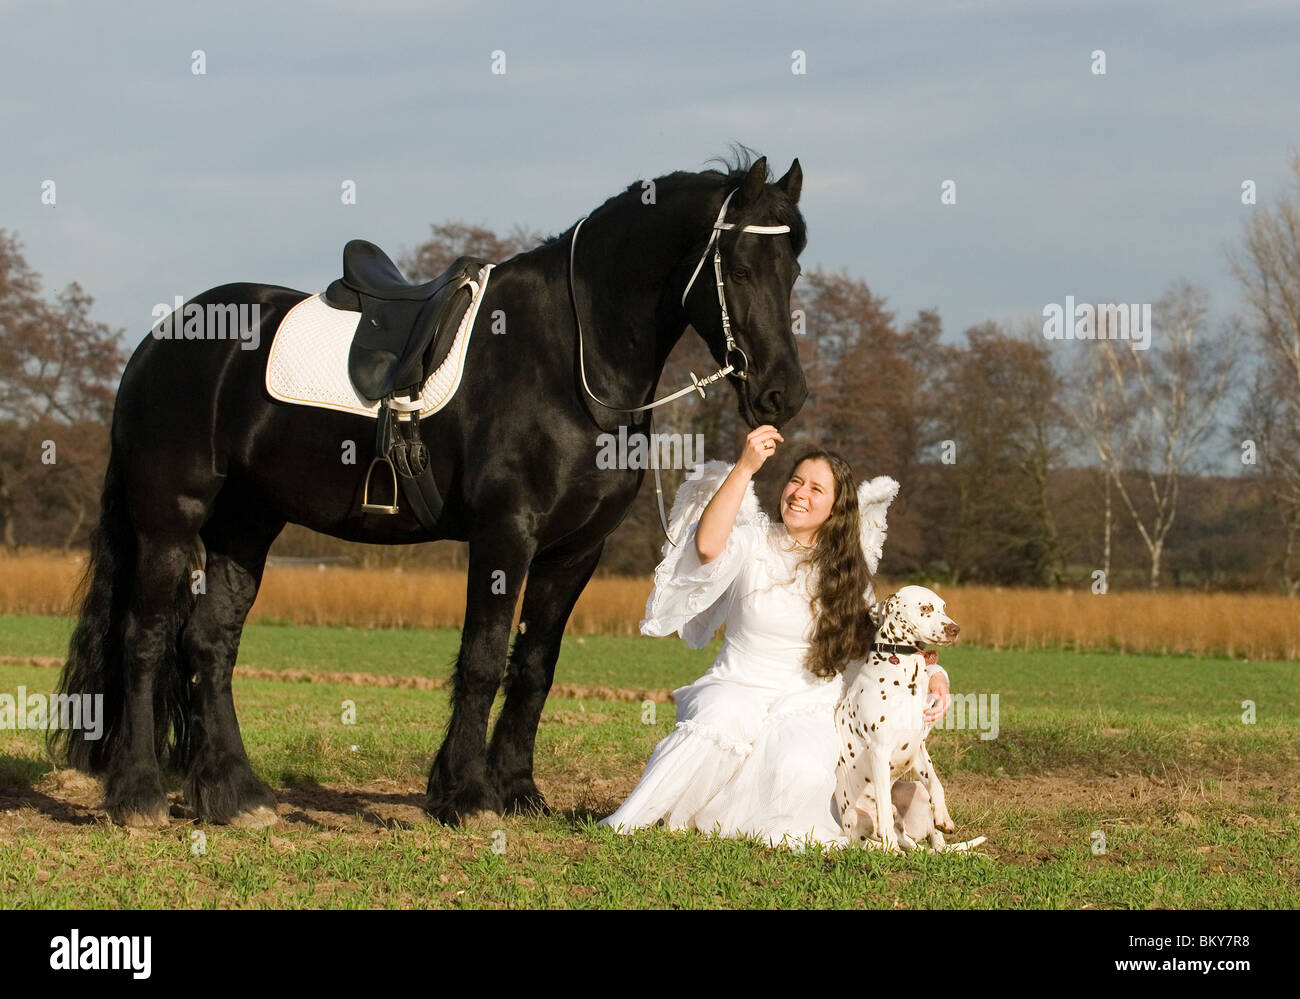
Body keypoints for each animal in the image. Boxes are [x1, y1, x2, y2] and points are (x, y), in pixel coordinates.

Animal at [50, 152, 806, 822]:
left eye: (793, 268)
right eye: (739, 267)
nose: (784, 395)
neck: (569, 358)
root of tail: (157, 342)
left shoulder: (574, 551)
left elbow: (535, 666)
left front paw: (518, 791)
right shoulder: (506, 534)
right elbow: (482, 659)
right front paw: (464, 794)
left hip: (246, 525)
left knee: (209, 643)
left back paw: (235, 794)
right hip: (169, 518)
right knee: (144, 638)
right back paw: (139, 794)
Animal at [837, 585, 972, 853]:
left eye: (943, 607)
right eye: (925, 608)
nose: (955, 629)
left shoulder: (918, 748)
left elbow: (937, 783)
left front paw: (944, 817)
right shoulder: (880, 752)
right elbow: (883, 807)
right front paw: (890, 850)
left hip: (918, 793)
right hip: (855, 819)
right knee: (872, 834)